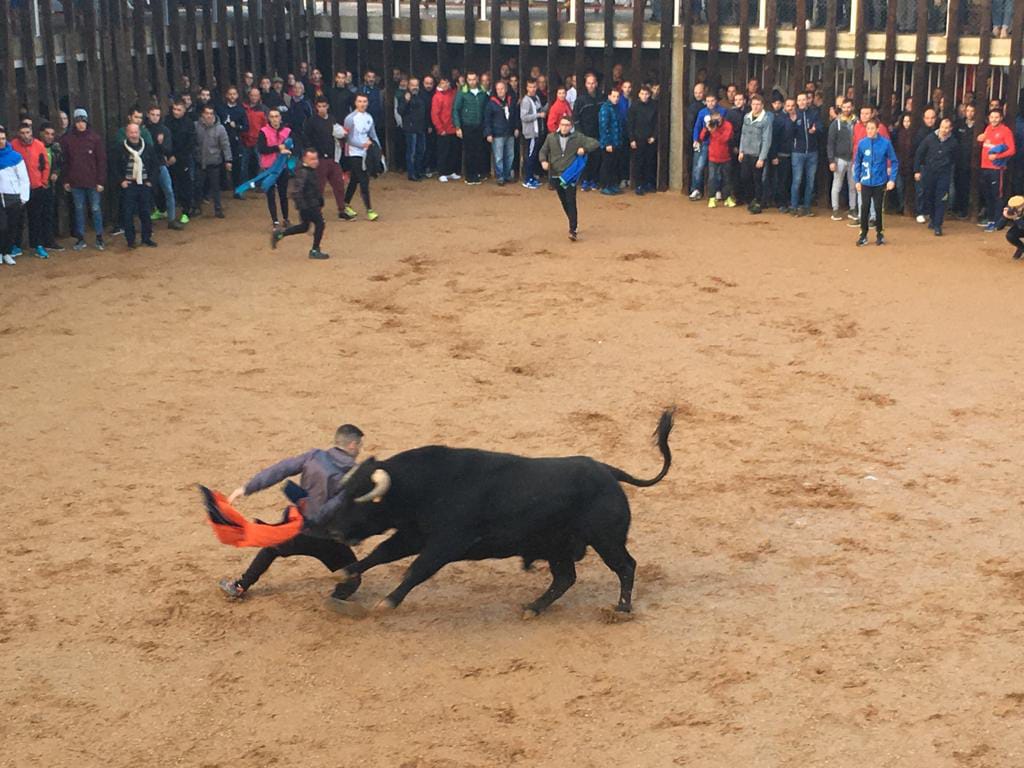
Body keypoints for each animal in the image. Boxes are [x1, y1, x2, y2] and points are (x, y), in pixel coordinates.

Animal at [319, 409, 671, 618]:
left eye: (363, 501)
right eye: (345, 492)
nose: (332, 530)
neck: (428, 484)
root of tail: (609, 472)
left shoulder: (446, 543)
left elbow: (416, 570)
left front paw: (387, 602)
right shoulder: (413, 534)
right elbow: (381, 552)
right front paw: (346, 573)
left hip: (606, 539)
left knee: (625, 567)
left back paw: (621, 609)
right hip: (557, 546)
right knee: (565, 578)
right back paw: (533, 607)